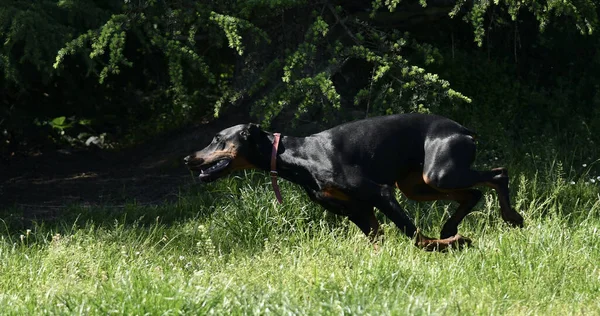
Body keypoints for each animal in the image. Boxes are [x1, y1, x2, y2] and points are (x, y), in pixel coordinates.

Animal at [185, 113, 524, 249]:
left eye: (218, 139)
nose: (188, 159)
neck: (300, 156)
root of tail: (463, 130)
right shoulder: (357, 210)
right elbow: (377, 238)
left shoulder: (380, 194)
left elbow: (415, 236)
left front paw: (454, 245)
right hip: (417, 185)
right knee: (472, 195)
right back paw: (451, 229)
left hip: (438, 173)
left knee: (498, 175)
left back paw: (510, 217)